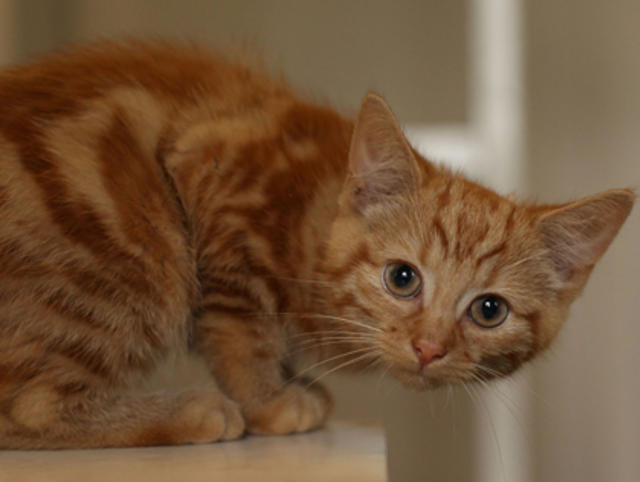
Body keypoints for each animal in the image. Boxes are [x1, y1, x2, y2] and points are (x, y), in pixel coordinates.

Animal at [0, 40, 632, 448]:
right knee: (24, 408)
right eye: (402, 278)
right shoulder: (216, 183)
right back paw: (188, 412)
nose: (428, 348)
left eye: (489, 311)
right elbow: (240, 327)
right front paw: (267, 398)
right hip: (133, 257)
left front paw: (290, 380)